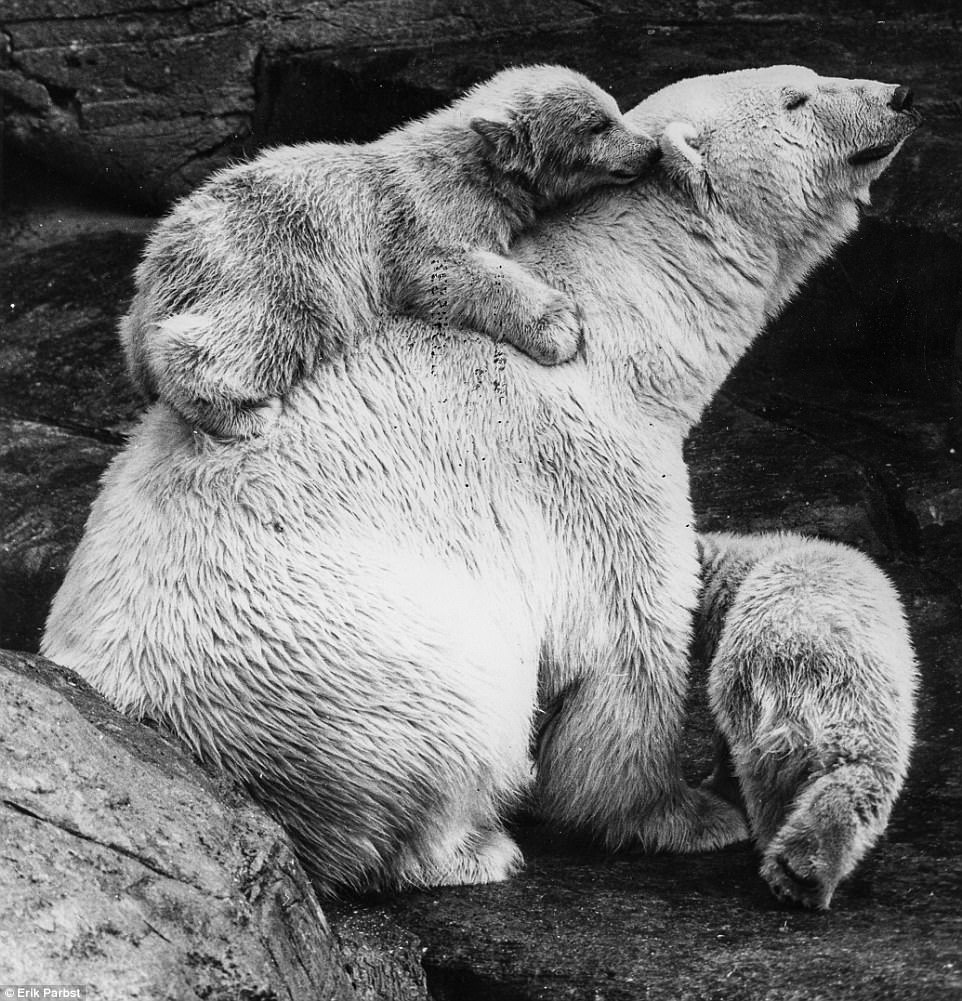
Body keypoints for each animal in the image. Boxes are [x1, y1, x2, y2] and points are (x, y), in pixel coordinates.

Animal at [43, 70, 916, 900]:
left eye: (815, 73)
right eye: (798, 96)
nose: (900, 96)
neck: (630, 315)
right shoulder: (588, 462)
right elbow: (628, 645)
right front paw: (692, 815)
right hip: (341, 673)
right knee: (448, 725)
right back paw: (471, 849)